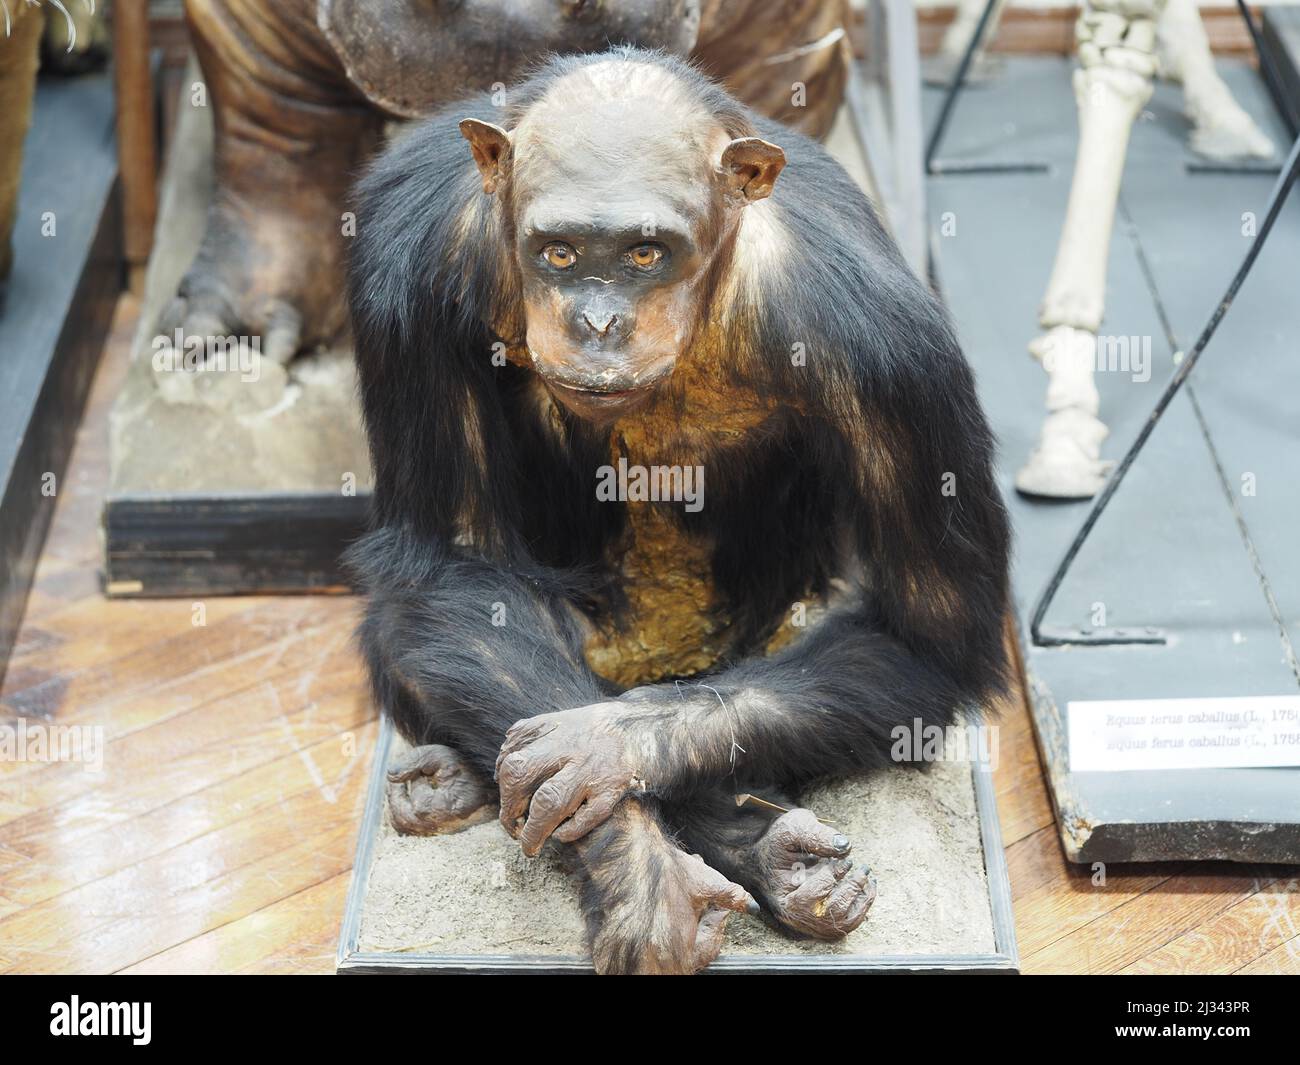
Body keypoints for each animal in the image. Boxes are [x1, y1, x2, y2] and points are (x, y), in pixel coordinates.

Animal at [348, 47, 1013, 972]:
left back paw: (772, 853)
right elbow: (455, 560)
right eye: (558, 252)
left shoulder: (892, 348)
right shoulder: (403, 259)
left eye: (644, 253)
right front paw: (639, 871)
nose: (598, 320)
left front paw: (613, 749)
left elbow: (927, 629)